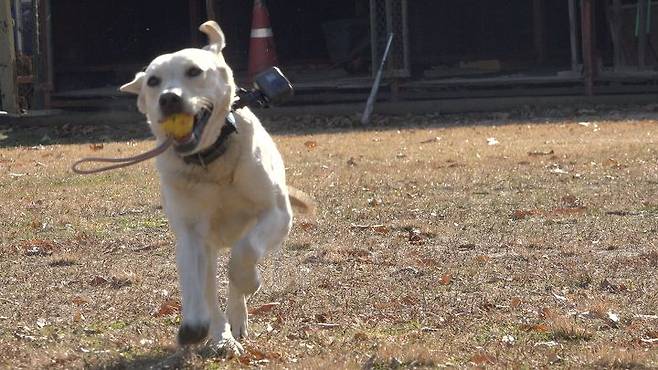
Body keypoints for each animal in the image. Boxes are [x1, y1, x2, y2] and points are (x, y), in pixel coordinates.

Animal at [120, 21, 310, 356]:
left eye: (194, 71)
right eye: (153, 81)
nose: (168, 98)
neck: (210, 159)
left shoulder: (276, 214)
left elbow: (244, 255)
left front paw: (250, 282)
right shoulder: (192, 236)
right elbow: (202, 289)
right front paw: (199, 327)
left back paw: (238, 315)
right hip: (203, 249)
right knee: (208, 291)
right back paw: (221, 336)